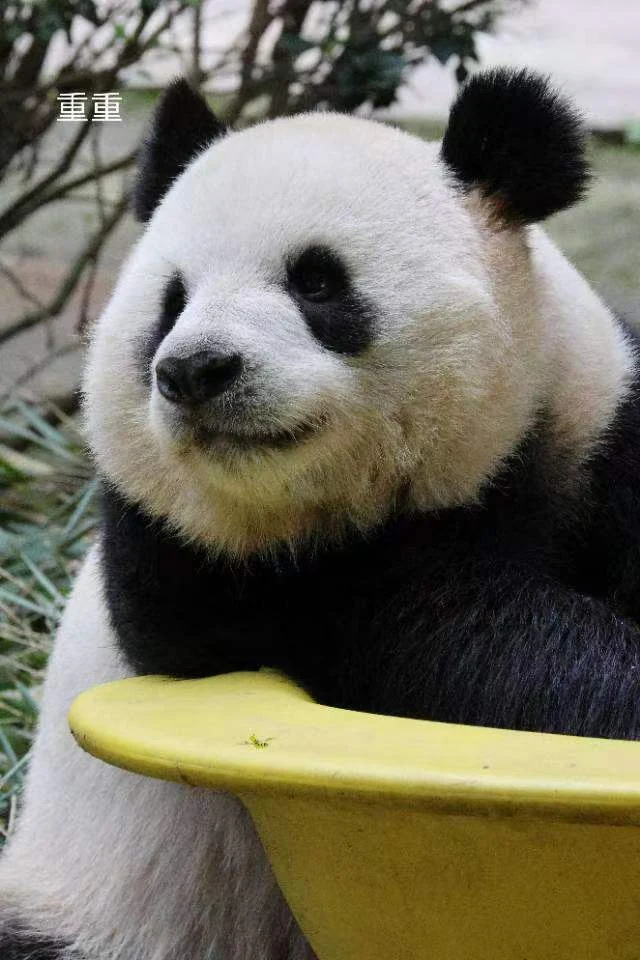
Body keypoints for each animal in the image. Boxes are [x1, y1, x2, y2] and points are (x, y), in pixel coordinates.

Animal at [2, 66, 640, 960]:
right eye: (172, 300)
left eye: (317, 280)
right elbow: (484, 650)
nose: (196, 369)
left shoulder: (594, 428)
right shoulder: (228, 573)